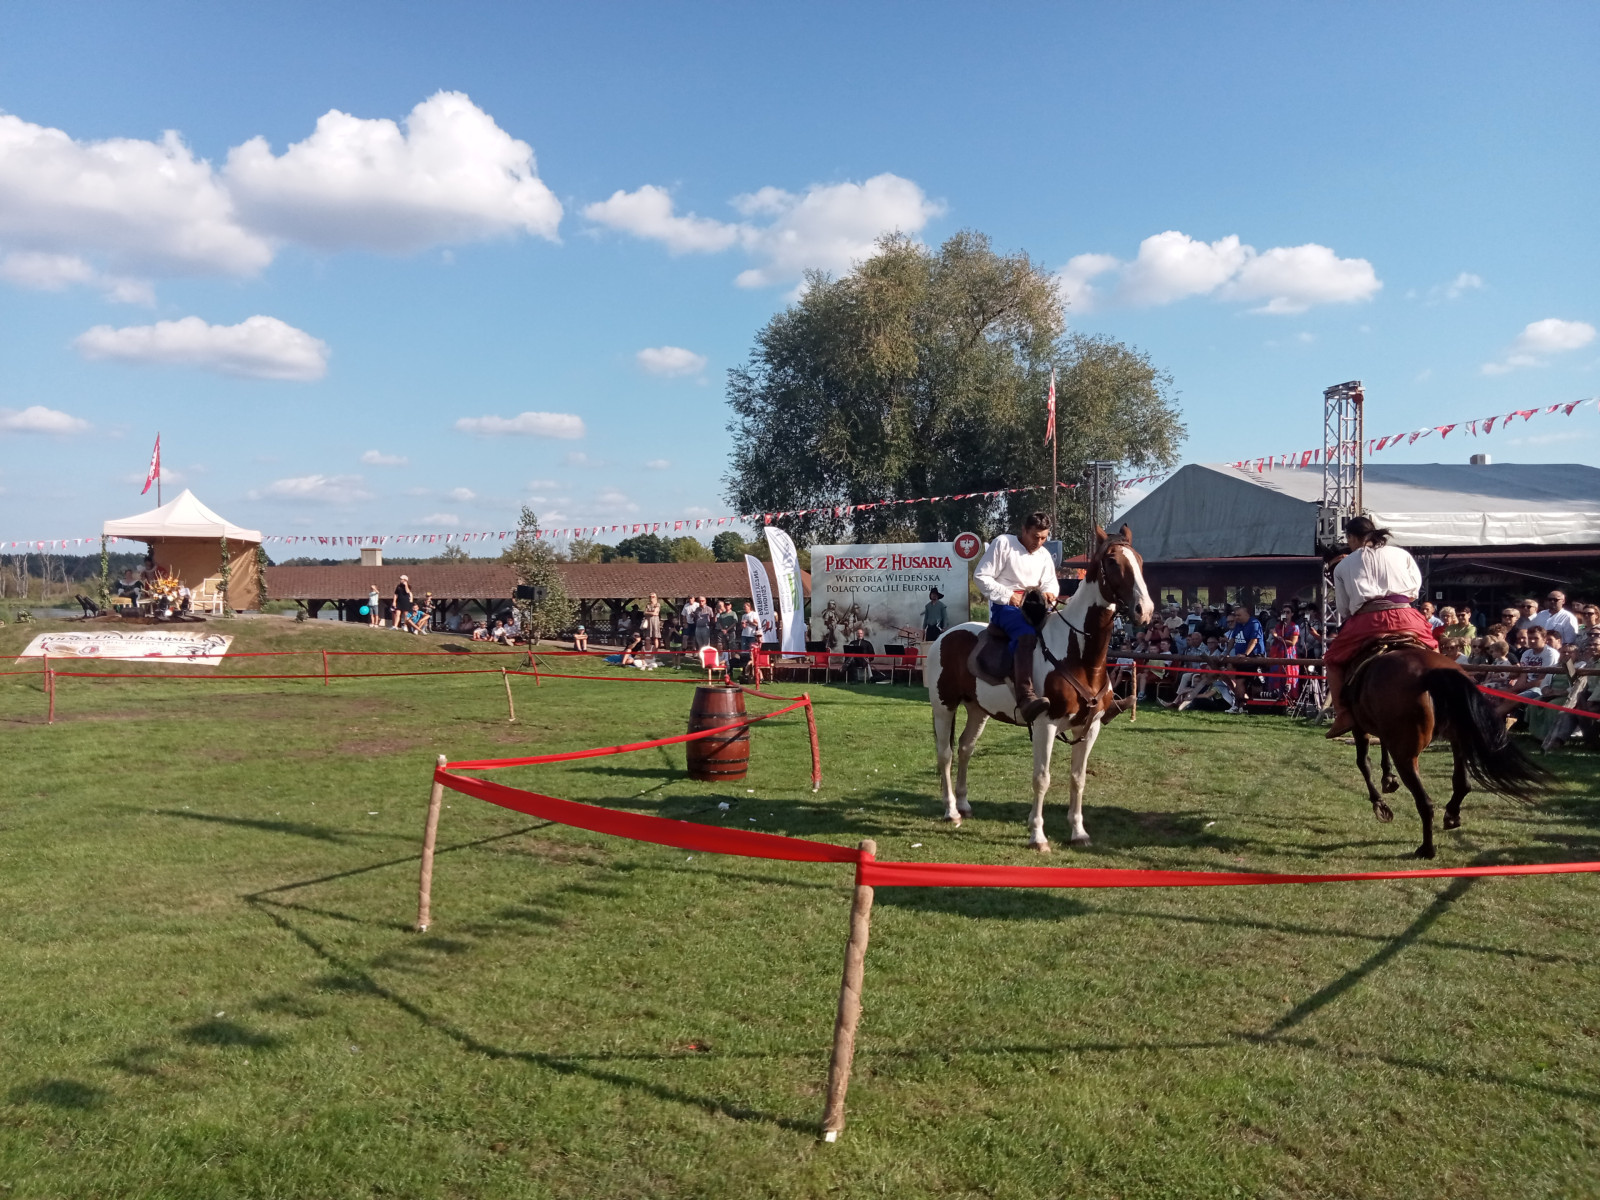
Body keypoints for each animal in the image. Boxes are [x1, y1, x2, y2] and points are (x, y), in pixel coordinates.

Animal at [926, 525, 1154, 852]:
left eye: (1139, 560)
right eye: (1112, 561)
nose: (1144, 610)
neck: (1078, 656)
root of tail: (945, 636)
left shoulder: (1090, 727)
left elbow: (1078, 778)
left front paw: (1078, 832)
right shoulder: (1046, 724)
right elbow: (1042, 779)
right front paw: (1037, 836)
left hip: (977, 710)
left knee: (966, 748)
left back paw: (965, 804)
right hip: (944, 706)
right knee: (945, 753)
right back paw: (951, 811)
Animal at [1343, 643, 1551, 857]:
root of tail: (1431, 672)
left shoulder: (1358, 726)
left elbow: (1363, 763)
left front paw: (1380, 804)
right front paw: (1388, 779)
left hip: (1406, 755)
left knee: (1425, 802)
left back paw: (1426, 849)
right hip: (1457, 738)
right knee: (1462, 783)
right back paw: (1451, 815)